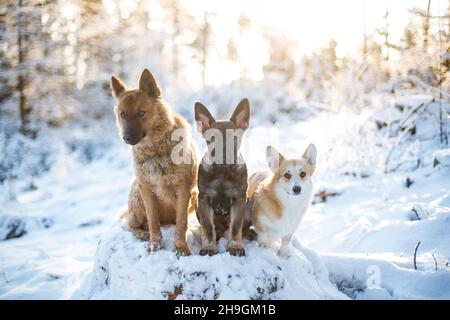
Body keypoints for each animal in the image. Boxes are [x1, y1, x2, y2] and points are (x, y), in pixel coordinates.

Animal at [110, 69, 197, 255]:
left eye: (141, 113)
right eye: (123, 115)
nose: (126, 138)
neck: (155, 151)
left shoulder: (183, 190)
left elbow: (182, 223)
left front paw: (181, 247)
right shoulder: (146, 189)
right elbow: (153, 221)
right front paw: (155, 244)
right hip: (136, 192)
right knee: (132, 225)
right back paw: (142, 234)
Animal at [193, 99, 250, 256]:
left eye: (234, 139)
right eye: (212, 139)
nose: (223, 153)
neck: (223, 171)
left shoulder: (239, 199)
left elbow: (236, 226)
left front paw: (235, 246)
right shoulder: (204, 199)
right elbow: (207, 226)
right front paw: (208, 247)